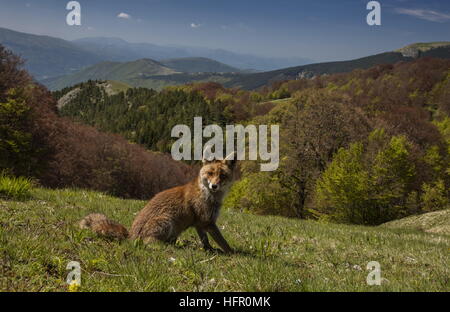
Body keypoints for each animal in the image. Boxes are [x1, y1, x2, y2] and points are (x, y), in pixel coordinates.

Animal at [79, 153, 237, 254]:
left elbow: (205, 241)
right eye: (210, 173)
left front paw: (209, 250)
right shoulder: (208, 222)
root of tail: (130, 236)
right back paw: (169, 247)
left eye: (222, 176)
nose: (214, 186)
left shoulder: (200, 223)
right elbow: (223, 242)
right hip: (167, 221)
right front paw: (232, 253)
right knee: (147, 243)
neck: (208, 195)